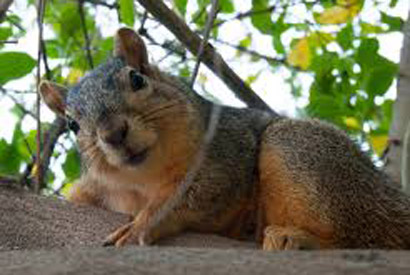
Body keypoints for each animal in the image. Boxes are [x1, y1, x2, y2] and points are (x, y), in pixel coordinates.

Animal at [39, 27, 410, 250]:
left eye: (137, 79)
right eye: (71, 124)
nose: (113, 133)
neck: (144, 180)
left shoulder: (227, 152)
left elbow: (192, 195)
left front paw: (140, 225)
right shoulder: (90, 192)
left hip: (303, 153)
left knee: (366, 237)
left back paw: (298, 239)